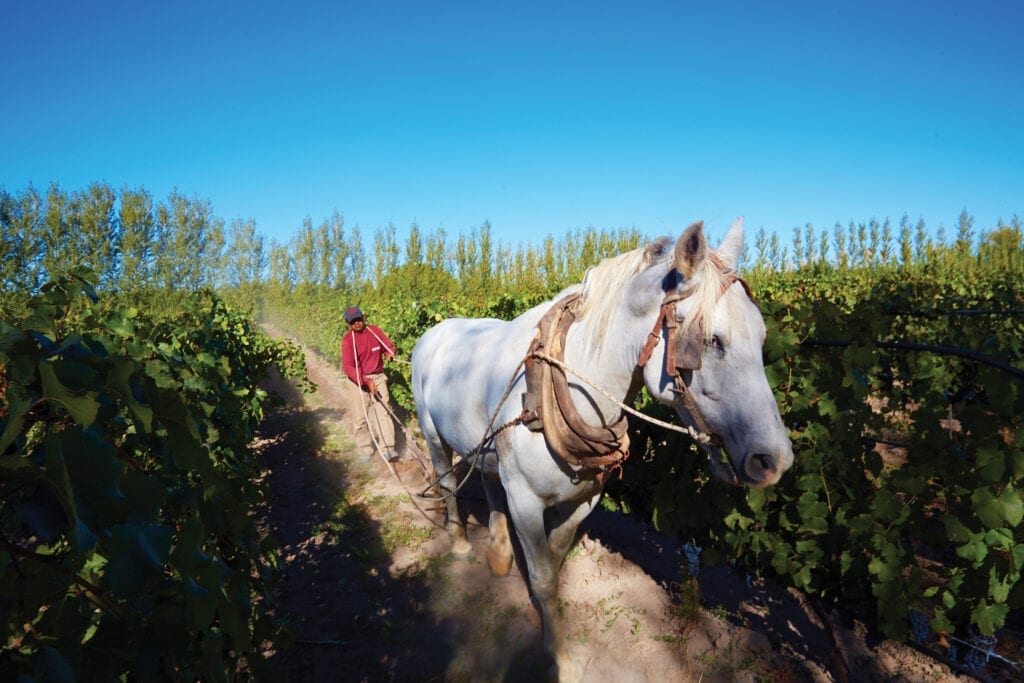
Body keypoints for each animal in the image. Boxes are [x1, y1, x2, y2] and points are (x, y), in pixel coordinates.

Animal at [411, 220, 794, 683]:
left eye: (762, 336)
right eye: (713, 340)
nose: (774, 459)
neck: (566, 385)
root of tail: (434, 332)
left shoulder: (587, 496)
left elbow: (556, 559)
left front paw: (547, 622)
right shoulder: (525, 500)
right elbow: (543, 576)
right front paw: (561, 658)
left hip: (484, 445)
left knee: (486, 482)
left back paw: (499, 554)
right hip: (433, 436)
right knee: (448, 482)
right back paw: (461, 543)